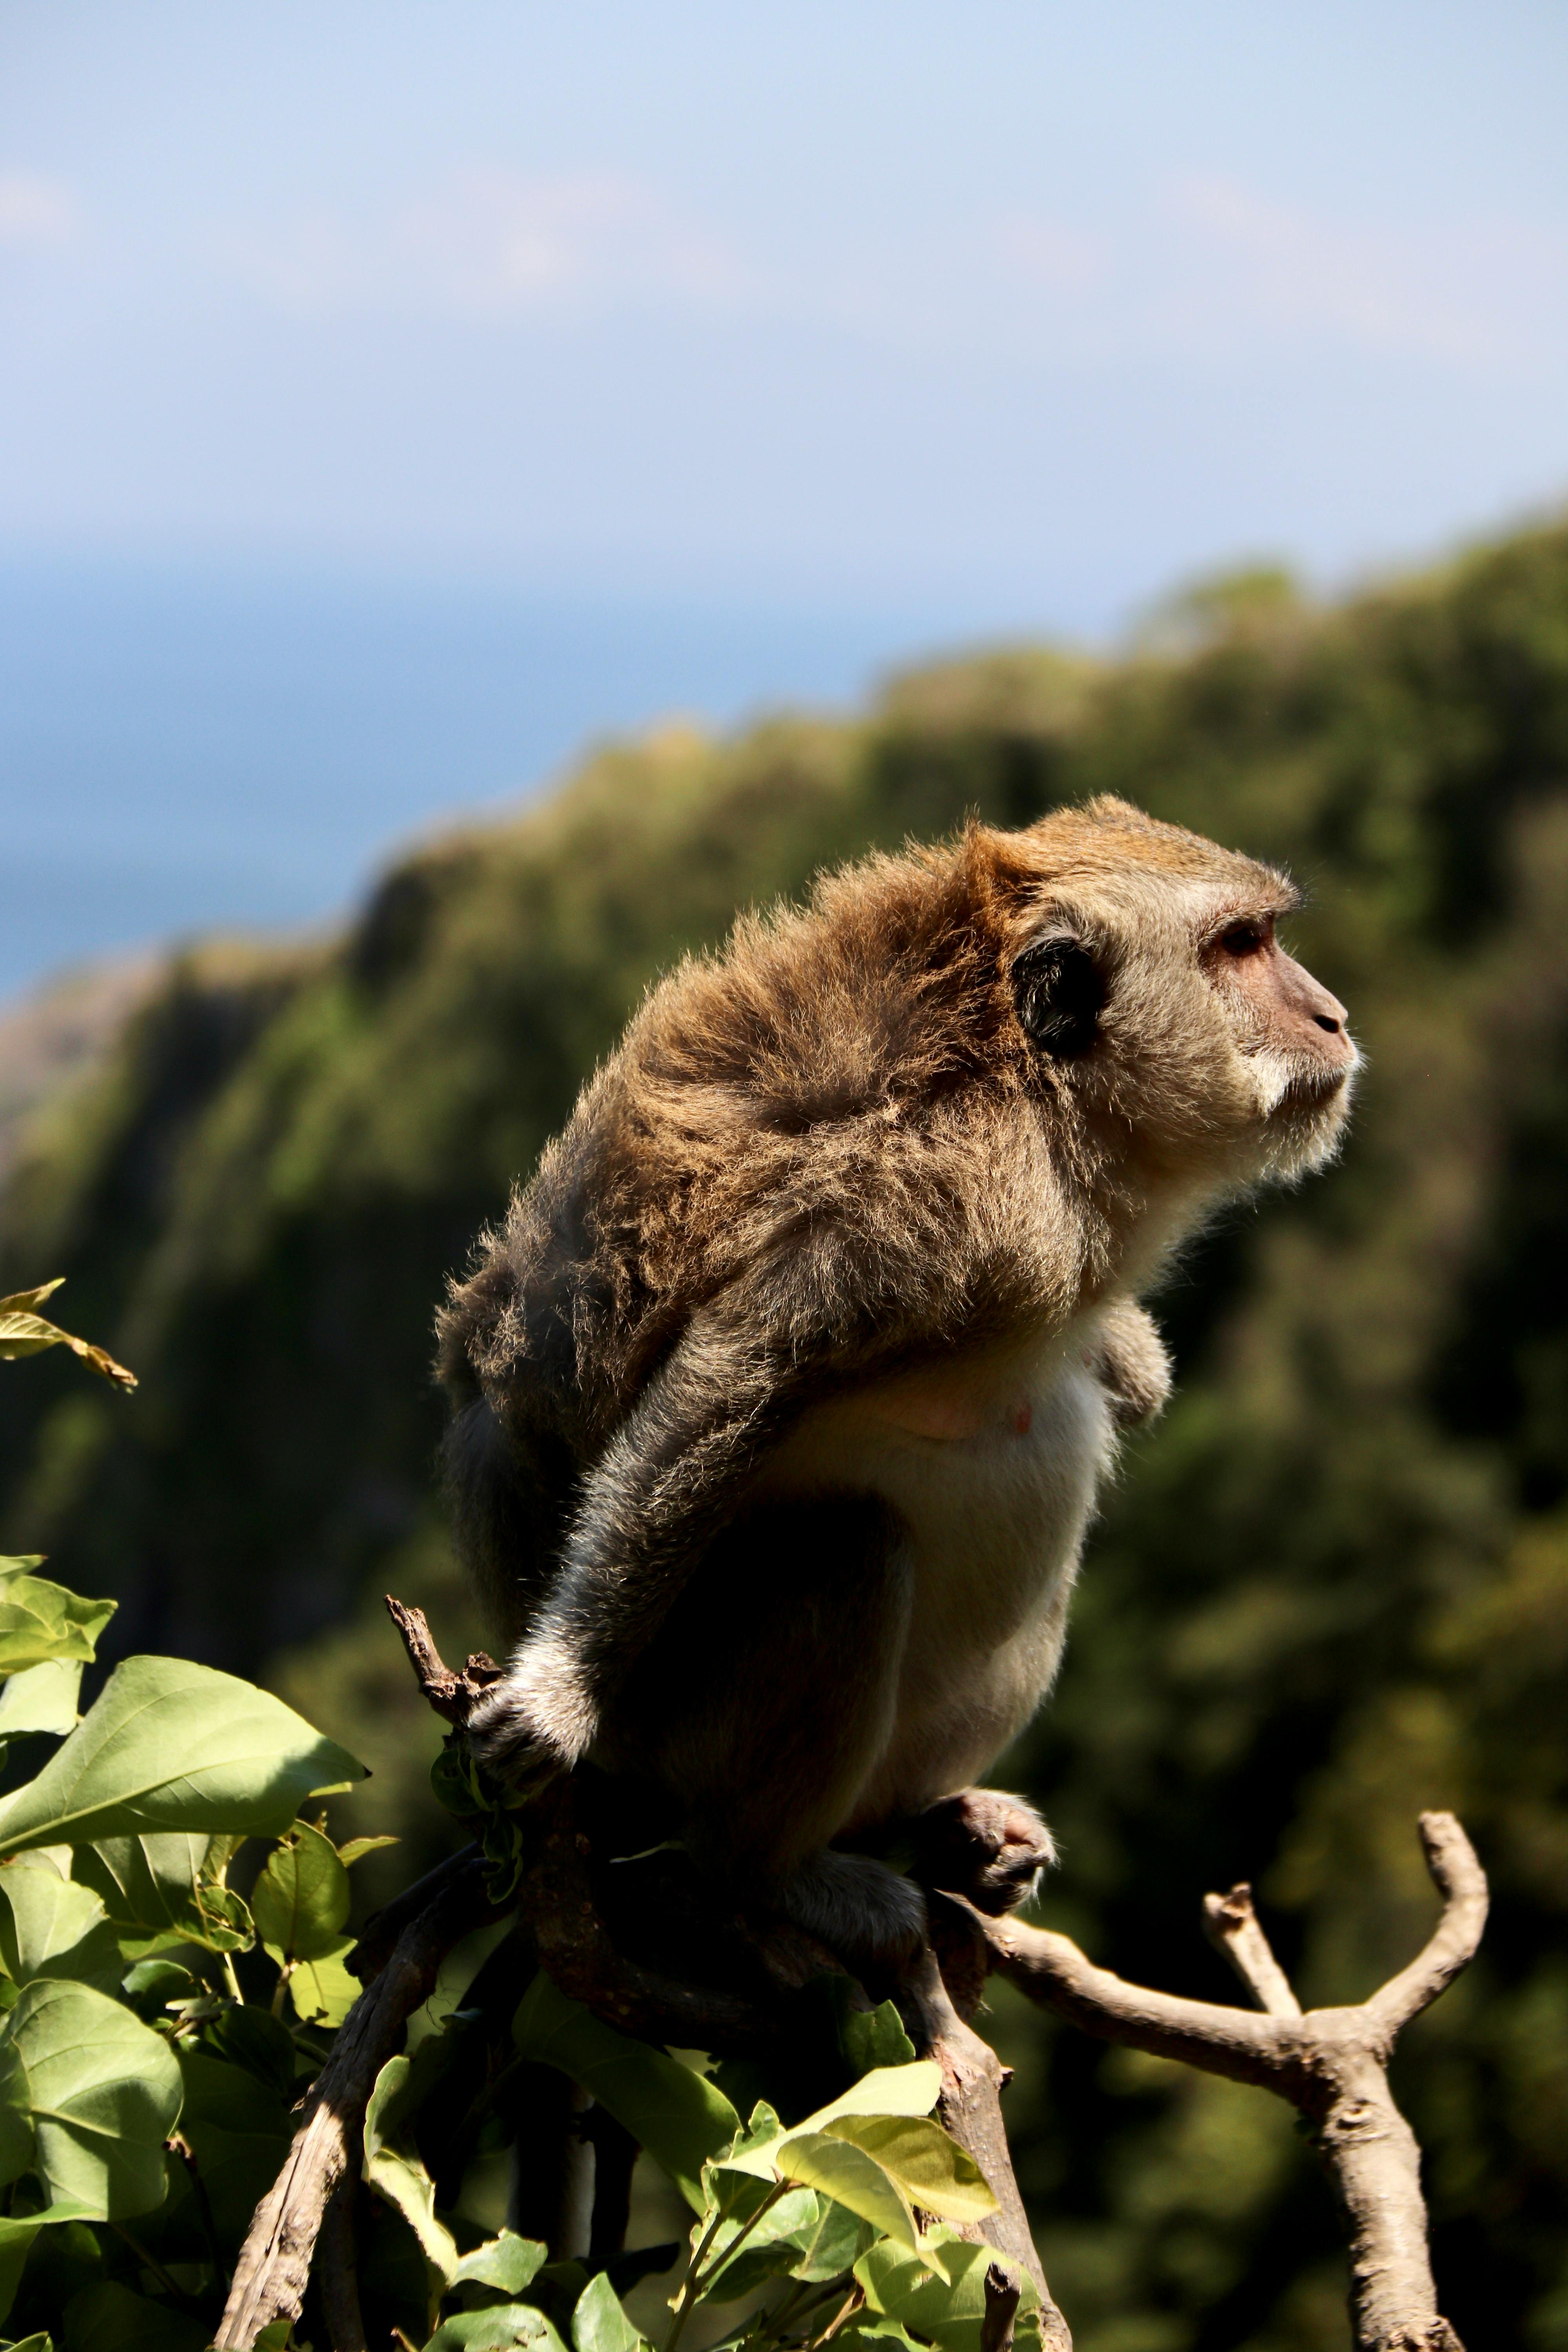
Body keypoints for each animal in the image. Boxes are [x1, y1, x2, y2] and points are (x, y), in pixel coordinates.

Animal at [435, 800, 1354, 1957]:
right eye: (1240, 946)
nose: (1332, 1016)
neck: (1041, 1094)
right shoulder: (931, 1202)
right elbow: (730, 1385)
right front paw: (559, 1694)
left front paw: (1130, 1355)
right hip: (670, 1739)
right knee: (847, 1551)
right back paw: (767, 1874)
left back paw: (944, 1824)